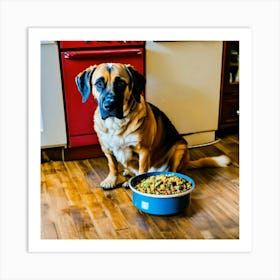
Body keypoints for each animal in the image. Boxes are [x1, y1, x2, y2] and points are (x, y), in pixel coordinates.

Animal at [75, 62, 231, 189]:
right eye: (99, 84)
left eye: (120, 84)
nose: (109, 105)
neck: (116, 122)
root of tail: (187, 162)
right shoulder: (106, 149)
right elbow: (112, 165)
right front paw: (111, 180)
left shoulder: (143, 151)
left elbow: (141, 170)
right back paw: (127, 172)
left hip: (179, 148)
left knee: (172, 169)